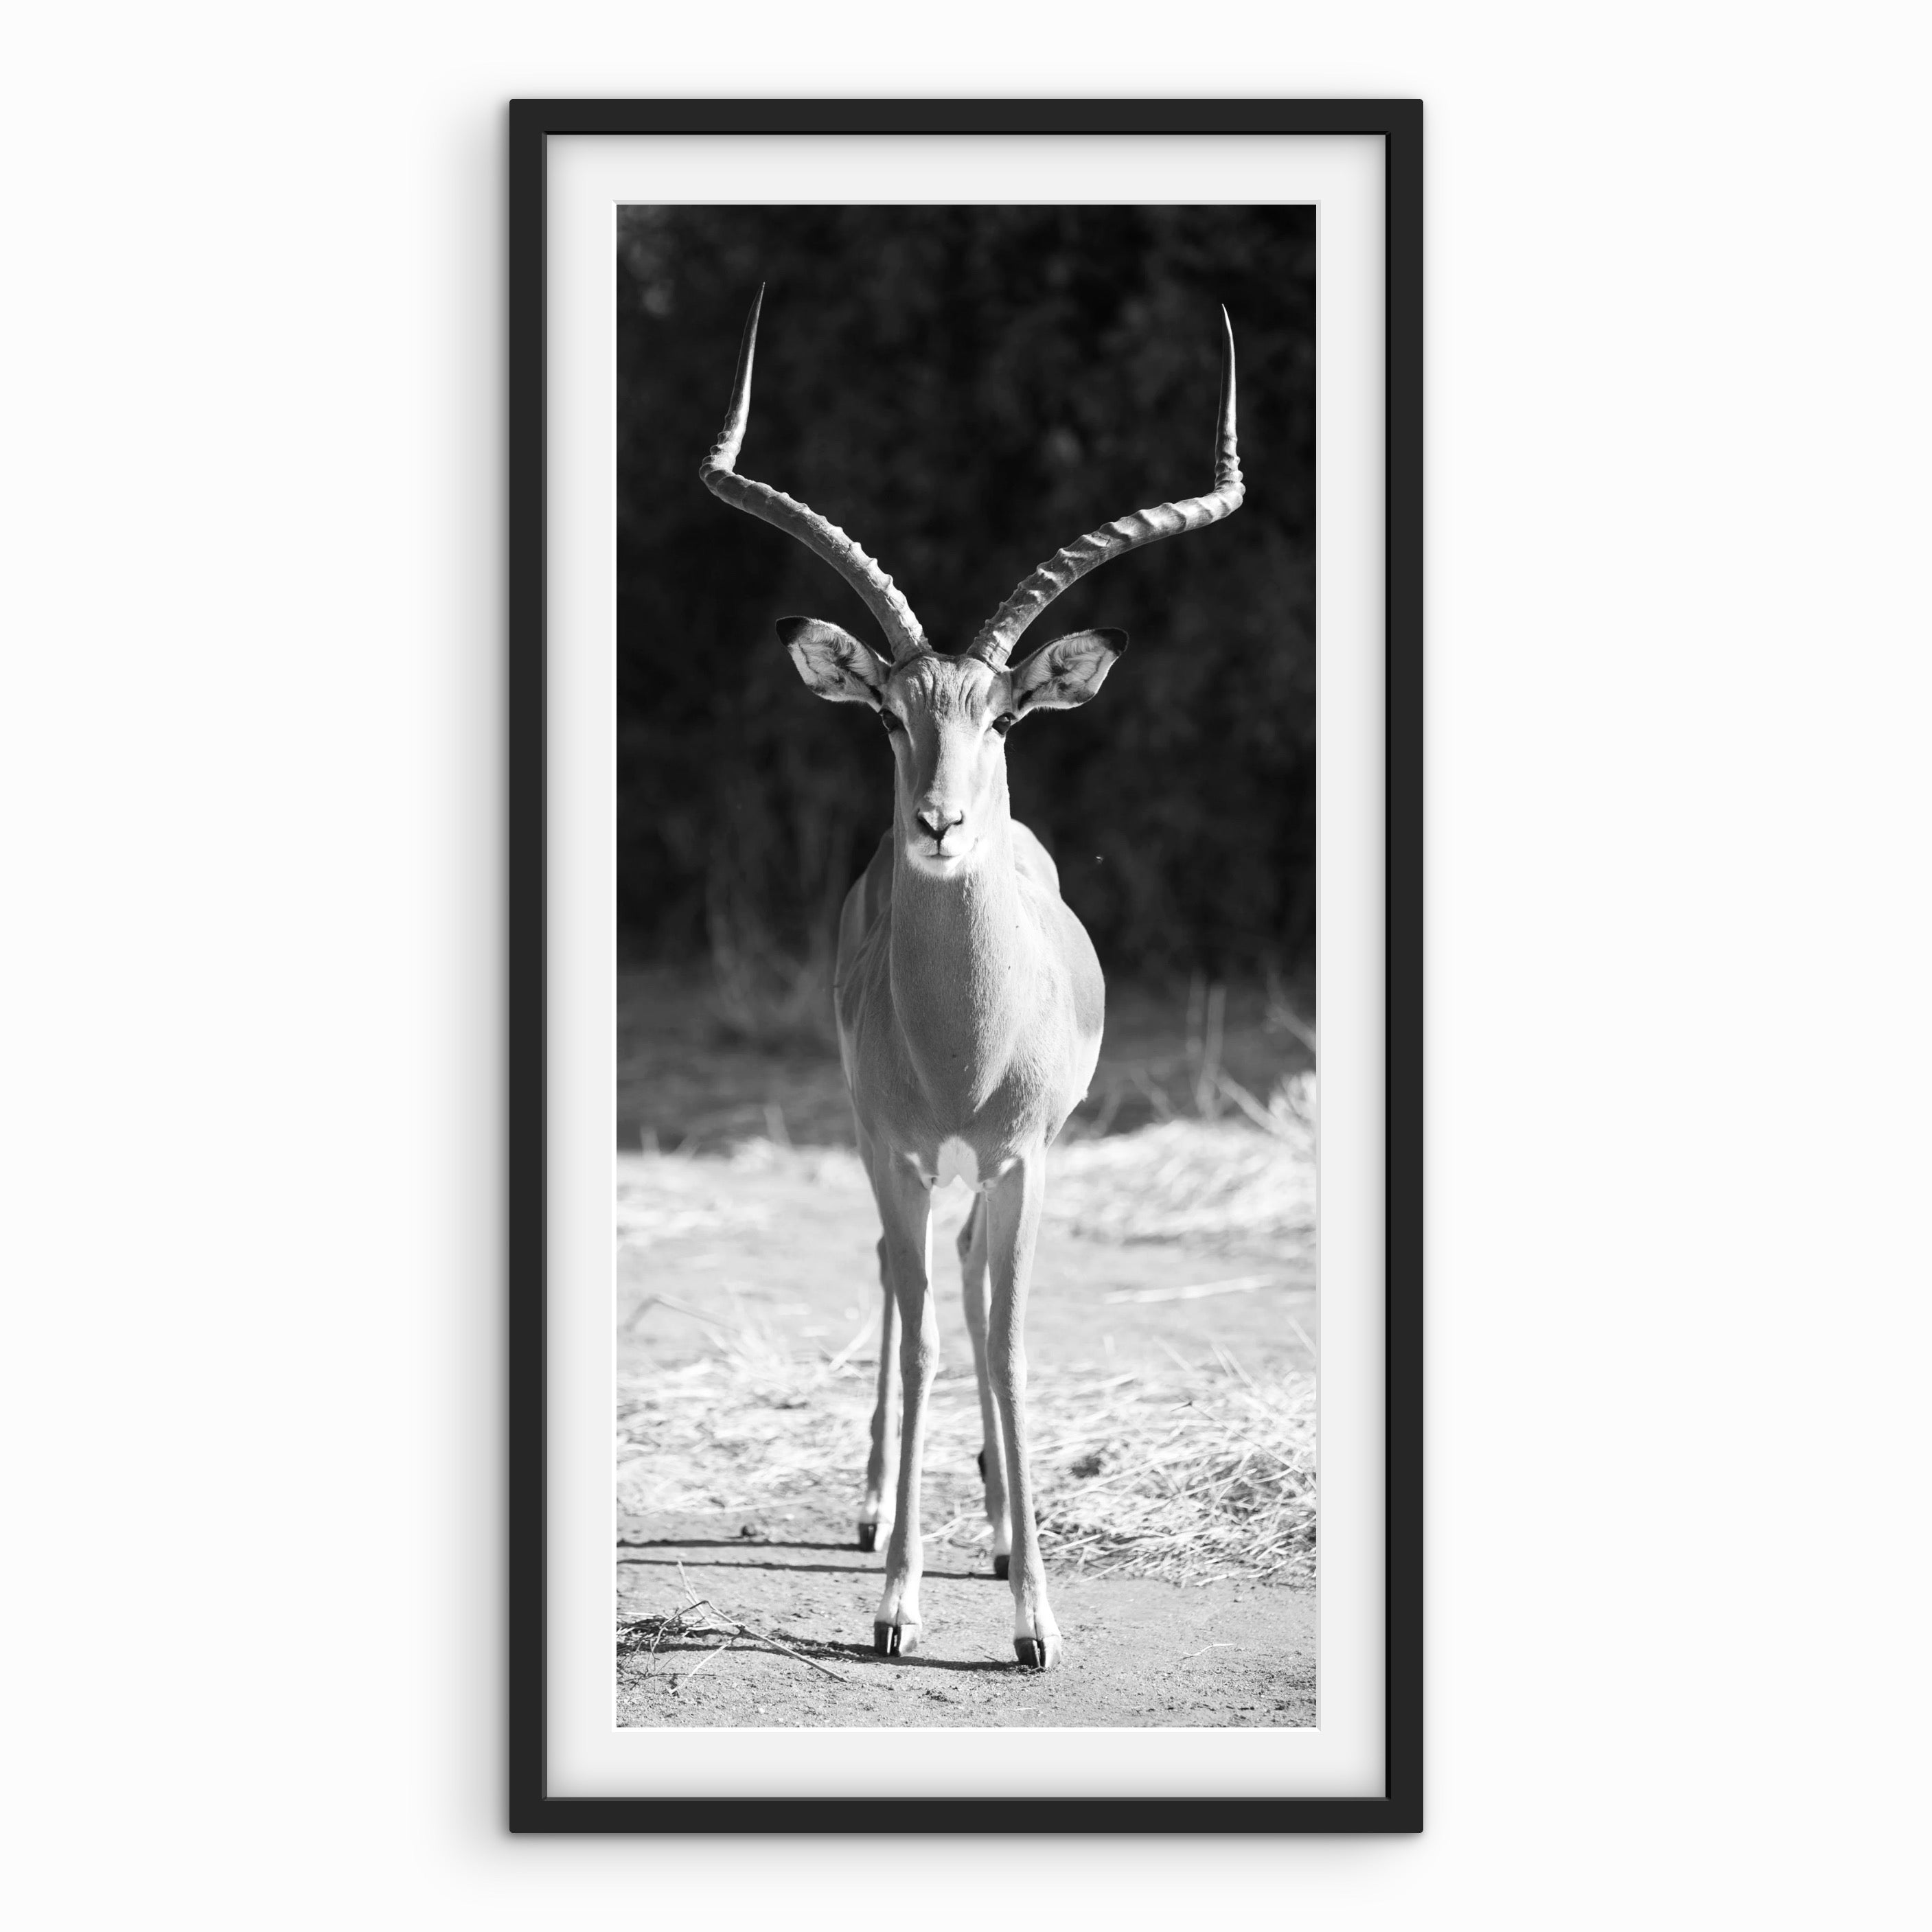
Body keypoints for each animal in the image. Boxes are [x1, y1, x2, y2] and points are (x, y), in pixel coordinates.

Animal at [700, 290, 1242, 1667]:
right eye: (890, 712)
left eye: (1001, 716)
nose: (940, 823)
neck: (965, 1044)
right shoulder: (893, 1143)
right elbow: (934, 1340)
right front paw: (894, 1602)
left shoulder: (1024, 1155)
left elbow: (1004, 1339)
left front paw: (1034, 1616)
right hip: (883, 1149)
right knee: (907, 1292)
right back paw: (875, 1510)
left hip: (986, 1171)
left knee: (964, 1280)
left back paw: (997, 1523)